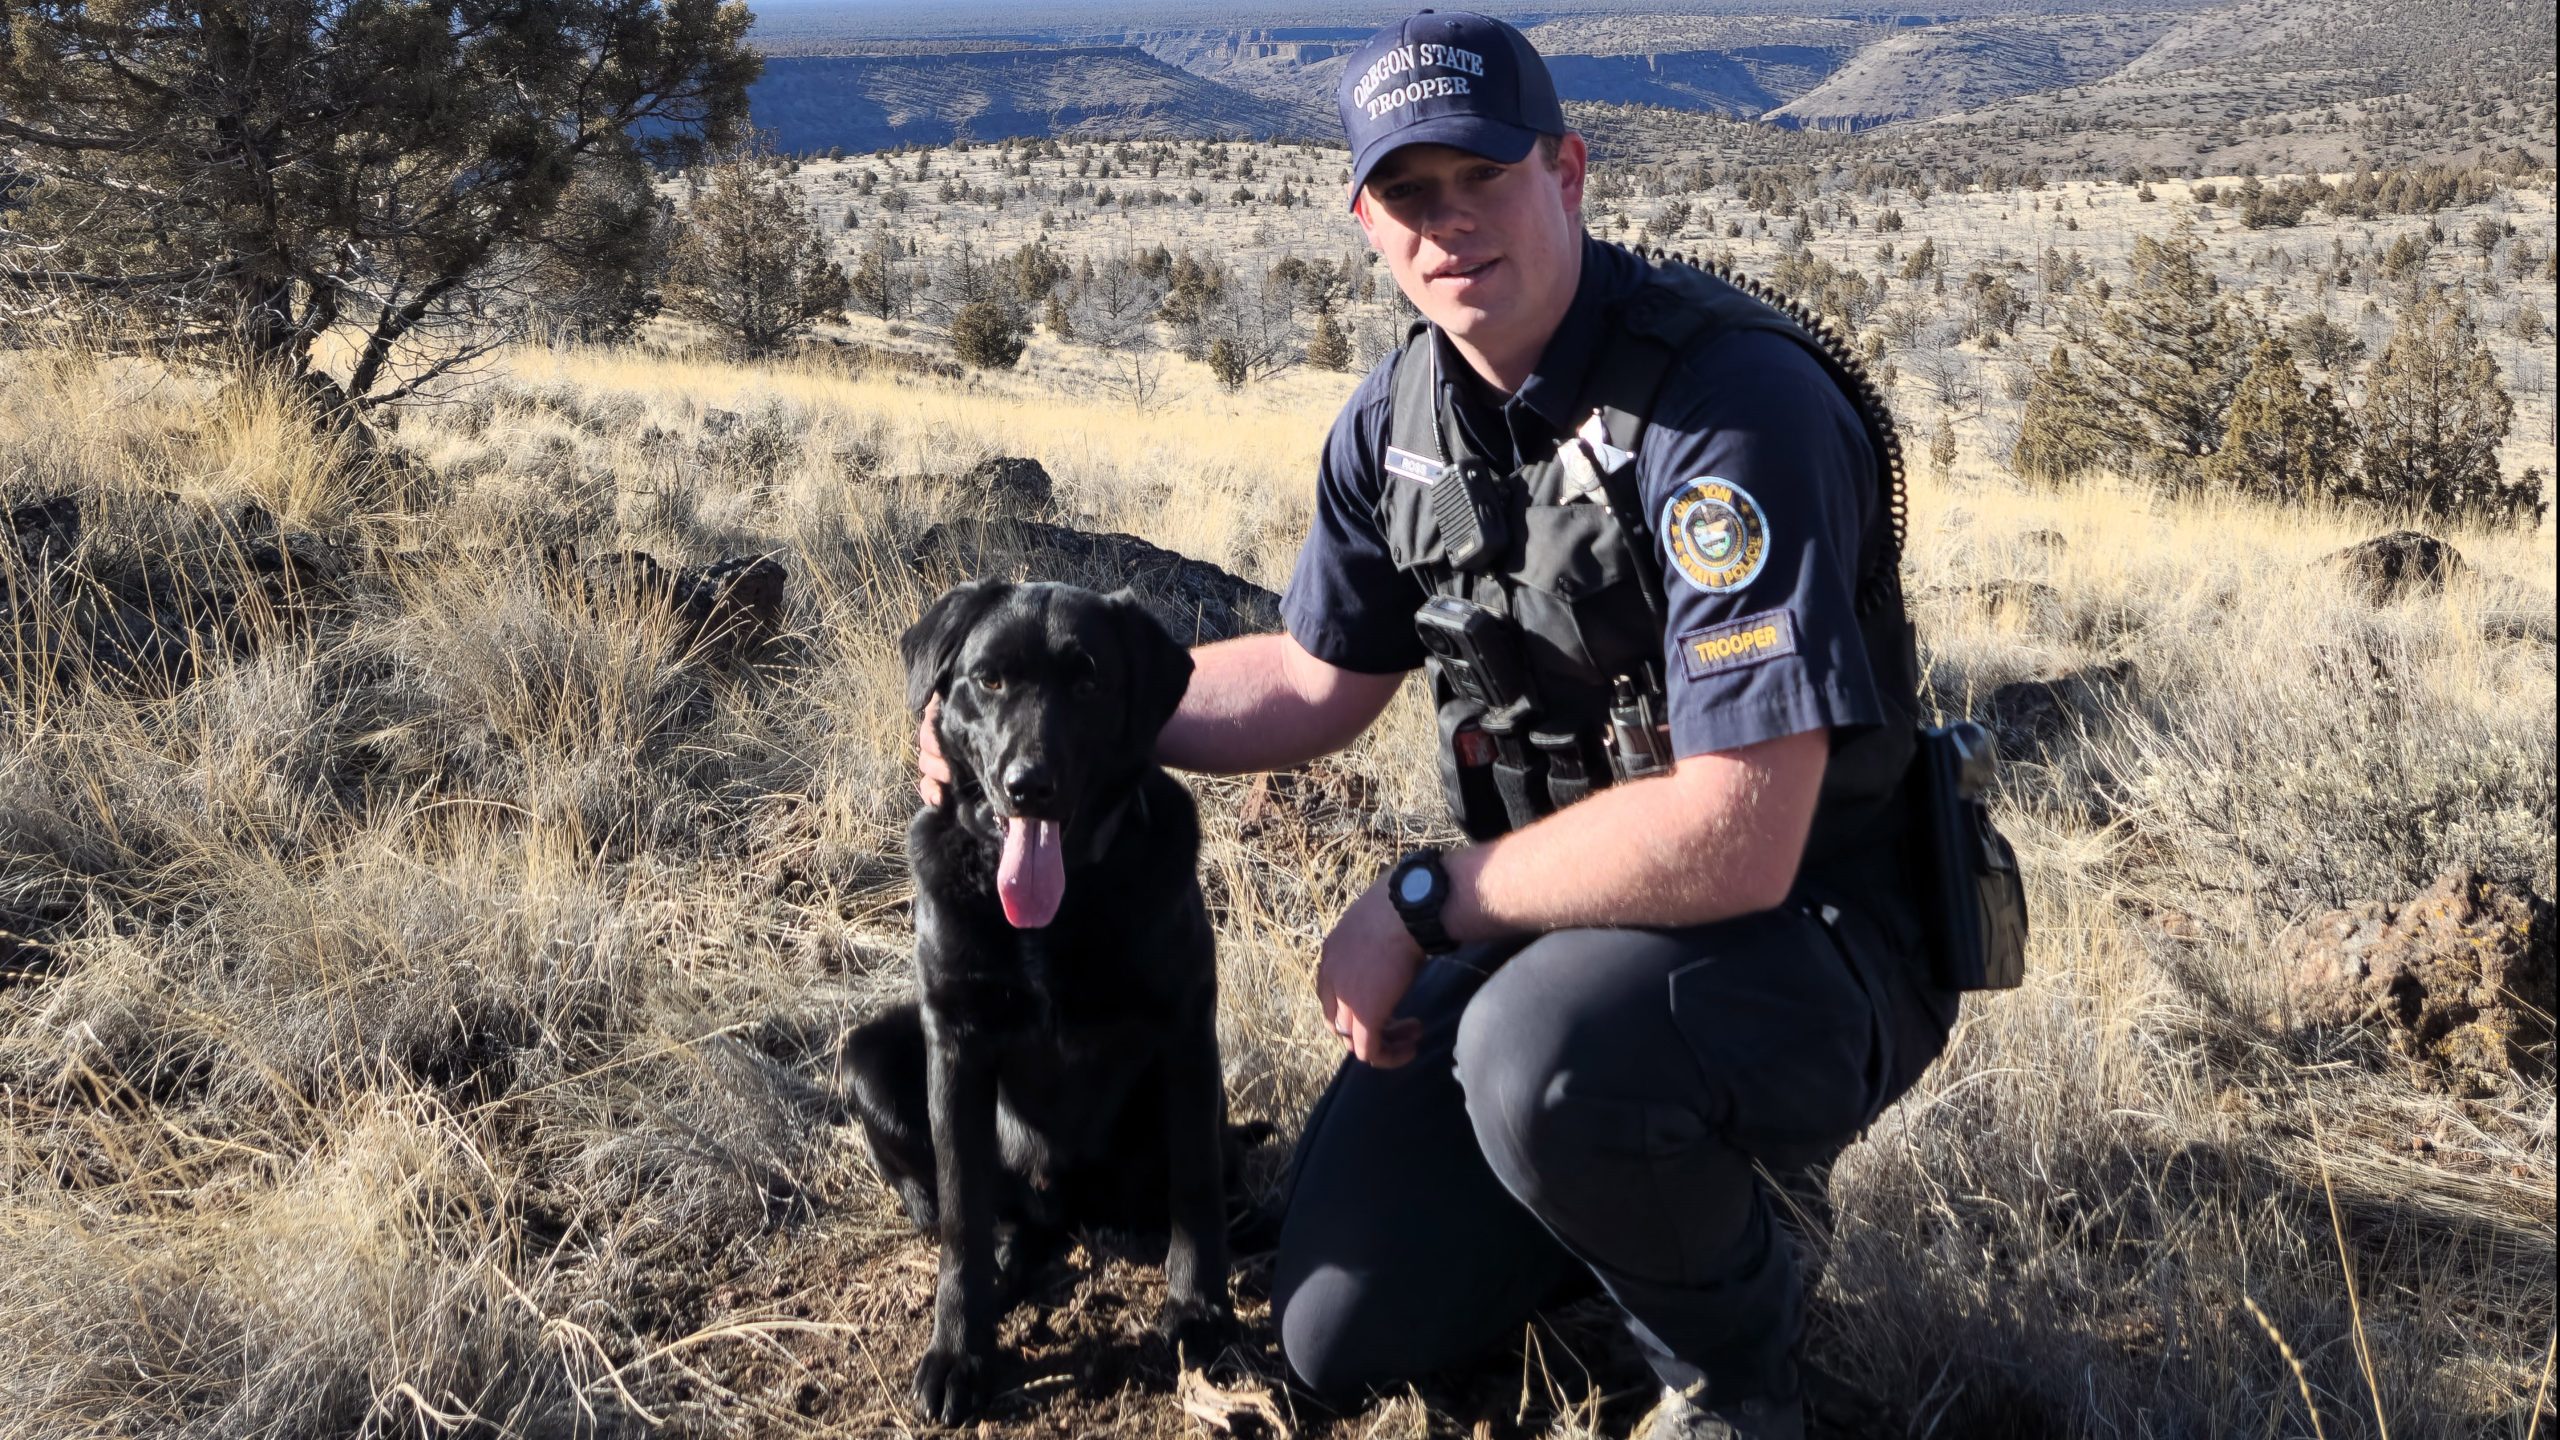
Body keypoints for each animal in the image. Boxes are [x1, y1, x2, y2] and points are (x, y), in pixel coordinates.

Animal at [844, 576, 1233, 1414]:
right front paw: (959, 1352)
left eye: (1087, 681)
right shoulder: (955, 1043)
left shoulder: (1187, 1032)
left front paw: (1197, 1310)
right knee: (969, 1208)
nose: (1029, 787)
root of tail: (1061, 1207)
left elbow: (1197, 1186)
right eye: (988, 679)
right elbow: (960, 1212)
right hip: (867, 1058)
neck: (1056, 912)